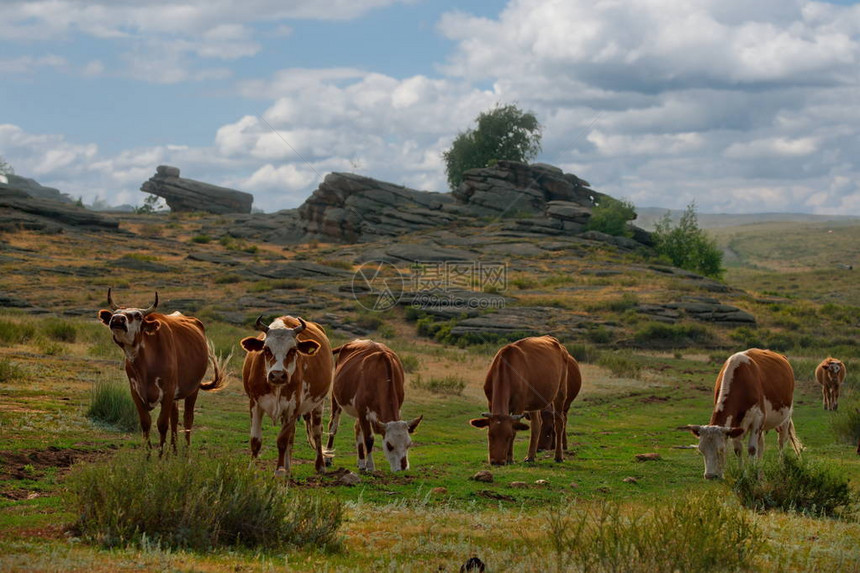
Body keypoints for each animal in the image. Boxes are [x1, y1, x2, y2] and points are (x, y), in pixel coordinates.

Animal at [97, 288, 228, 454]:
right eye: (116, 312)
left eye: (138, 316)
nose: (117, 319)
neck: (145, 365)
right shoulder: (136, 391)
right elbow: (146, 423)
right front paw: (148, 455)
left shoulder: (168, 391)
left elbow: (162, 424)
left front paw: (159, 455)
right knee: (175, 417)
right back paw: (173, 450)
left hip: (193, 389)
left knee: (187, 419)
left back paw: (185, 452)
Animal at [245, 316, 336, 476]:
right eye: (266, 349)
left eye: (293, 350)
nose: (277, 375)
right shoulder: (255, 404)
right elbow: (255, 440)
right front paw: (251, 469)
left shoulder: (291, 407)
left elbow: (282, 440)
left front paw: (279, 470)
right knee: (292, 437)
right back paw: (288, 468)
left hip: (319, 403)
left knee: (317, 433)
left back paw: (320, 465)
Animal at [326, 340, 424, 470]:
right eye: (389, 445)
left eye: (409, 444)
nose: (403, 468)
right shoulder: (363, 411)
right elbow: (369, 438)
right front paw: (371, 466)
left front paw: (365, 463)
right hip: (335, 397)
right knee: (333, 426)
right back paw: (328, 459)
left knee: (357, 429)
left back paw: (361, 462)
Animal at [466, 336, 568, 464]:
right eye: (490, 435)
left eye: (508, 437)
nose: (497, 462)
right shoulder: (490, 402)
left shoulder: (519, 405)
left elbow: (515, 430)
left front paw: (509, 458)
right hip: (534, 402)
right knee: (536, 424)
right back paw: (530, 456)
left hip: (561, 392)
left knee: (559, 422)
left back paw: (558, 456)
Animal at [680, 348, 808, 478]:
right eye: (701, 450)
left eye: (721, 449)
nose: (710, 476)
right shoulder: (735, 424)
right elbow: (738, 450)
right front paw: (744, 473)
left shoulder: (757, 418)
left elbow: (751, 449)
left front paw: (752, 474)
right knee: (761, 445)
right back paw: (760, 471)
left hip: (785, 418)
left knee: (781, 442)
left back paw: (780, 467)